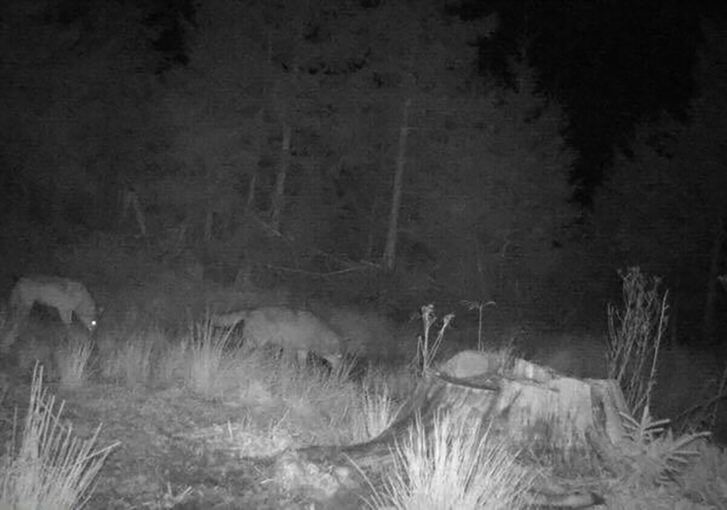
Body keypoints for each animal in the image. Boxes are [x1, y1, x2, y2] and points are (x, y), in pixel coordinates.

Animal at [212, 306, 343, 368]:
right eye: (339, 356)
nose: (338, 371)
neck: (318, 334)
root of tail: (250, 310)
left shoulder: (302, 350)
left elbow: (302, 365)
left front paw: (302, 375)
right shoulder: (290, 347)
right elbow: (286, 363)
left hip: (252, 343)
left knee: (241, 353)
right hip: (261, 343)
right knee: (254, 355)